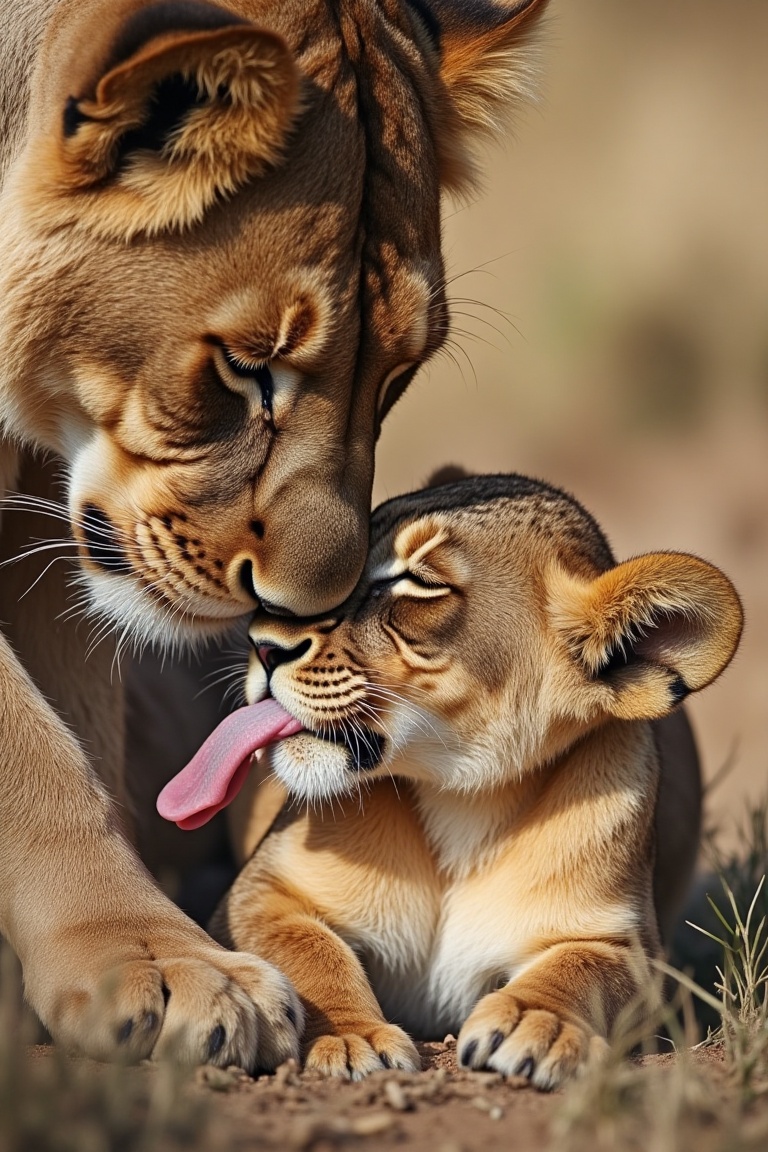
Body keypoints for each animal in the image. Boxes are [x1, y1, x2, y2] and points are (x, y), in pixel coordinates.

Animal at [0, 0, 552, 1068]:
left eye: (398, 372)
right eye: (246, 365)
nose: (298, 618)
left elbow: (77, 729)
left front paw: (135, 953)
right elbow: (32, 752)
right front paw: (157, 966)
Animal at [189, 473, 743, 1086]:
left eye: (421, 582)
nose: (261, 643)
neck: (463, 797)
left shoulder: (623, 944)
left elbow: (581, 969)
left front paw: (537, 1022)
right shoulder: (262, 893)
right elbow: (309, 954)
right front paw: (350, 1038)